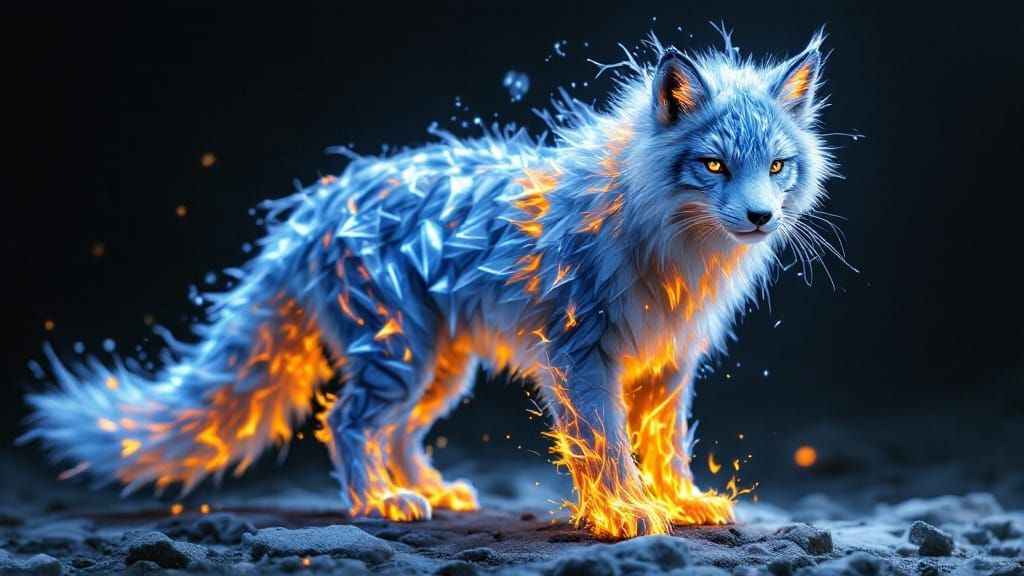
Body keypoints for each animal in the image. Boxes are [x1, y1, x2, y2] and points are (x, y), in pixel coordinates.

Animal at [22, 30, 837, 539]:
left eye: (777, 166)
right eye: (713, 165)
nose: (761, 218)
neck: (672, 251)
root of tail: (313, 209)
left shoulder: (668, 365)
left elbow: (666, 445)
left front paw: (679, 501)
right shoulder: (582, 358)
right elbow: (605, 444)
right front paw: (627, 514)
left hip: (439, 370)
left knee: (400, 431)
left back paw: (430, 490)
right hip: (398, 358)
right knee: (346, 422)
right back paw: (378, 502)